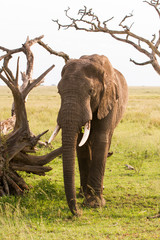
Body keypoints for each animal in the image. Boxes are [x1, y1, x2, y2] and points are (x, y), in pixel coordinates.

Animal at [50, 54, 128, 216]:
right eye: (59, 92)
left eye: (91, 91)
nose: (78, 213)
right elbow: (81, 144)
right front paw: (86, 198)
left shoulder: (110, 99)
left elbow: (101, 139)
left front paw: (94, 204)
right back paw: (81, 194)